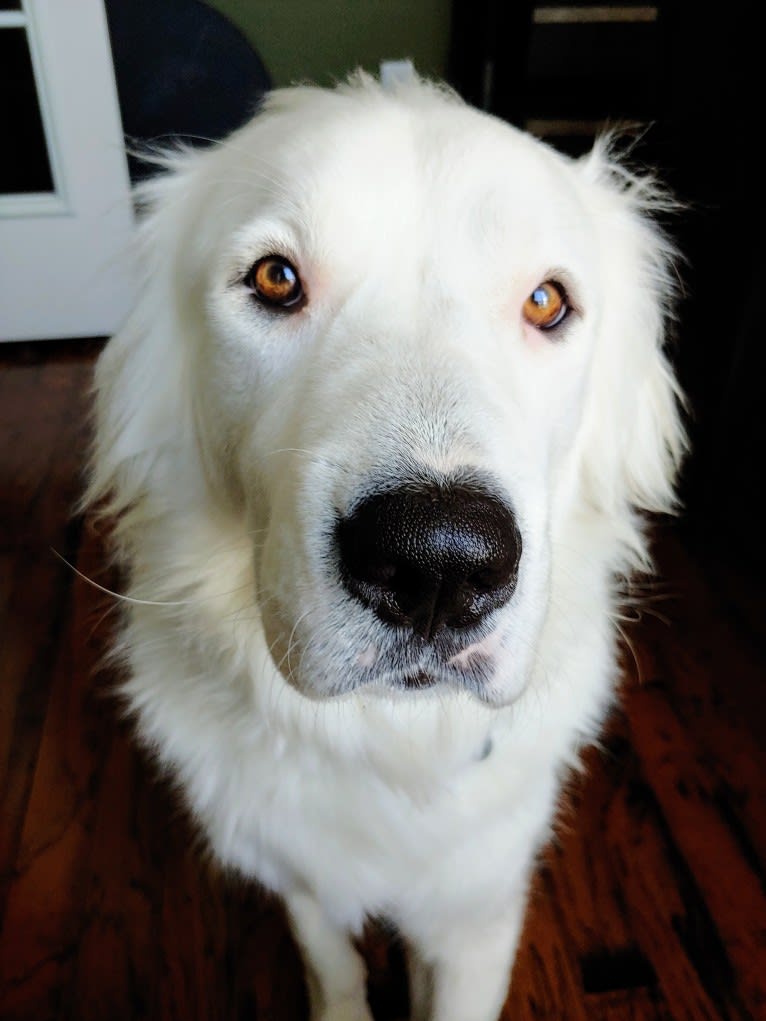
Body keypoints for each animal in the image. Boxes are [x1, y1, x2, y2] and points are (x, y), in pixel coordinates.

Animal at [86, 74, 686, 1021]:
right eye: (275, 278)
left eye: (546, 301)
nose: (438, 562)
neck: (384, 741)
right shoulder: (295, 873)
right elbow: (330, 961)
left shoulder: (479, 915)